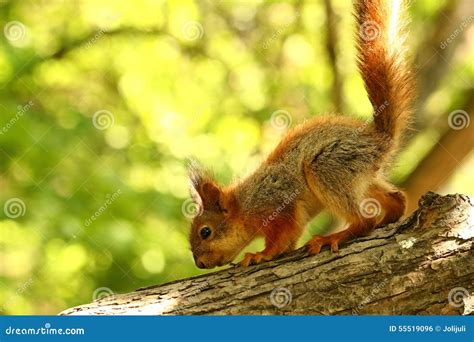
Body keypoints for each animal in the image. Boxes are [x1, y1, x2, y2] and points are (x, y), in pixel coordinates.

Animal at [187, 0, 412, 268]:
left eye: (205, 232)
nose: (199, 263)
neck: (244, 205)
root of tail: (379, 140)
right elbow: (289, 241)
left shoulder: (277, 205)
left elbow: (282, 237)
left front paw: (260, 254)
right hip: (363, 179)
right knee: (397, 199)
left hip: (327, 167)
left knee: (364, 221)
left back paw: (332, 237)